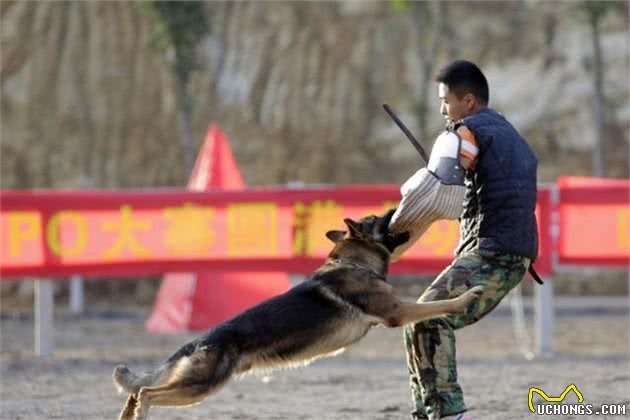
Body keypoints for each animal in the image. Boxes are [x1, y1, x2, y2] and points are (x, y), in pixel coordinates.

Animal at [113, 210, 484, 420]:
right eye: (379, 219)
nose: (397, 205)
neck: (355, 261)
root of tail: (196, 342)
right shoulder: (398, 311)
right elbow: (435, 305)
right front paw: (467, 296)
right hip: (201, 385)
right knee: (145, 393)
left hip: (195, 384)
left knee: (136, 392)